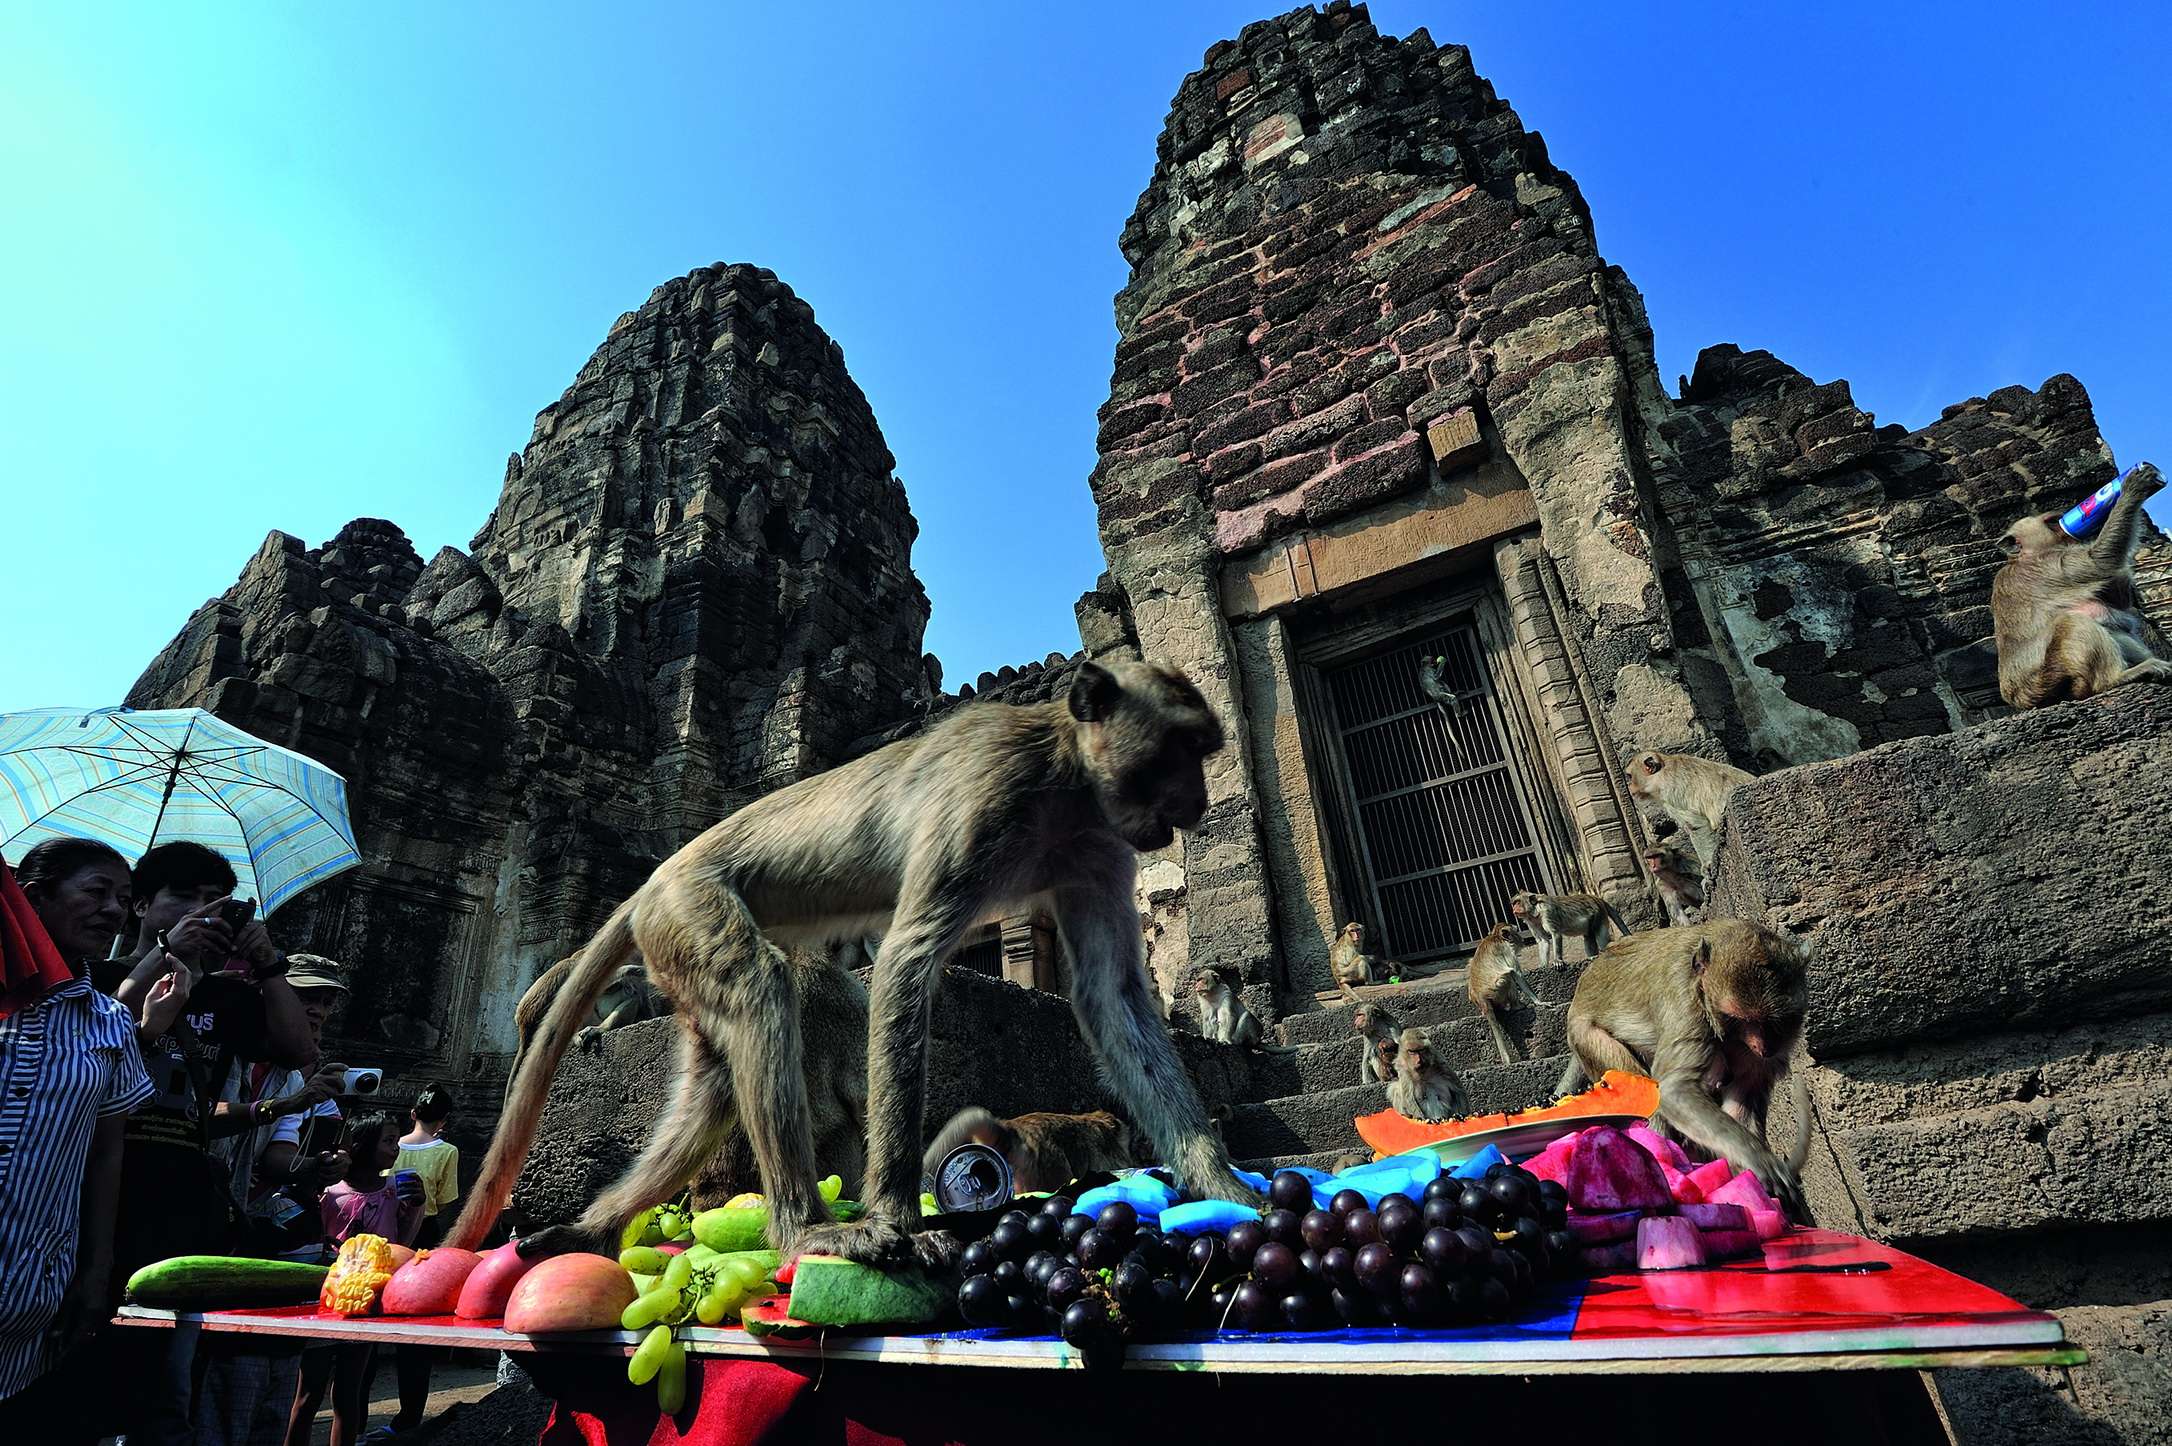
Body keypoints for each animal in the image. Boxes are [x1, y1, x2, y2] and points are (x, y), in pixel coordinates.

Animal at [1466, 922, 1541, 1065]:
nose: (1522, 939)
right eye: (1515, 931)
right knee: (1508, 976)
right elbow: (1517, 974)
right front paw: (1540, 1002)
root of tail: (1481, 999)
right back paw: (1517, 1006)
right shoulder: (1506, 949)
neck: (1495, 936)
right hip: (1497, 991)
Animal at [1554, 920, 1812, 1217]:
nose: (1763, 1048)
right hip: (1585, 1035)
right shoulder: (1685, 1002)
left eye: (1774, 1021)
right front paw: (1757, 1158)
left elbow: (1742, 1099)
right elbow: (1672, 1090)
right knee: (1640, 1089)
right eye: (1739, 1019)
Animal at [1624, 751, 1757, 872]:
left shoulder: (1671, 795)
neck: (1661, 773)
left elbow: (1696, 826)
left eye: (1629, 776)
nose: (1629, 787)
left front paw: (1708, 864)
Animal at [1993, 461, 2170, 708]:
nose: (2067, 527)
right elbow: (2099, 561)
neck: (2026, 556)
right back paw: (2116, 678)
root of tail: (2025, 701)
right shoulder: (2047, 567)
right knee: (2073, 622)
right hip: (2055, 680)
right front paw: (2131, 489)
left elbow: (2116, 597)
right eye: (2052, 523)